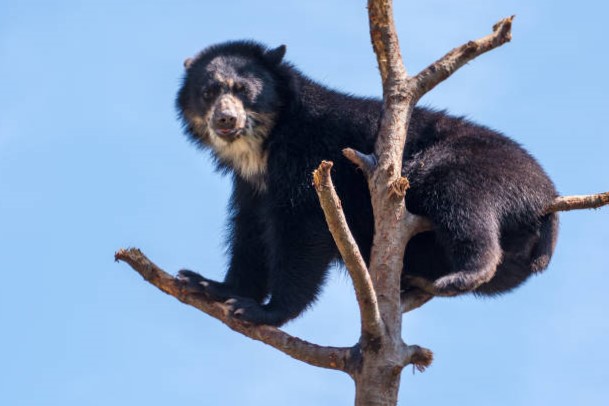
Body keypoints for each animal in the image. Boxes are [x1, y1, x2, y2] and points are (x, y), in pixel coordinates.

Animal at [173, 40, 560, 326]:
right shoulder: (251, 186)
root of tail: (548, 200)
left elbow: (303, 233)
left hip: (483, 170)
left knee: (459, 199)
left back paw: (463, 274)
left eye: (243, 90)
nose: (225, 119)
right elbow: (250, 234)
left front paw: (262, 311)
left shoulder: (311, 160)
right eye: (208, 92)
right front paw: (208, 285)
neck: (264, 146)